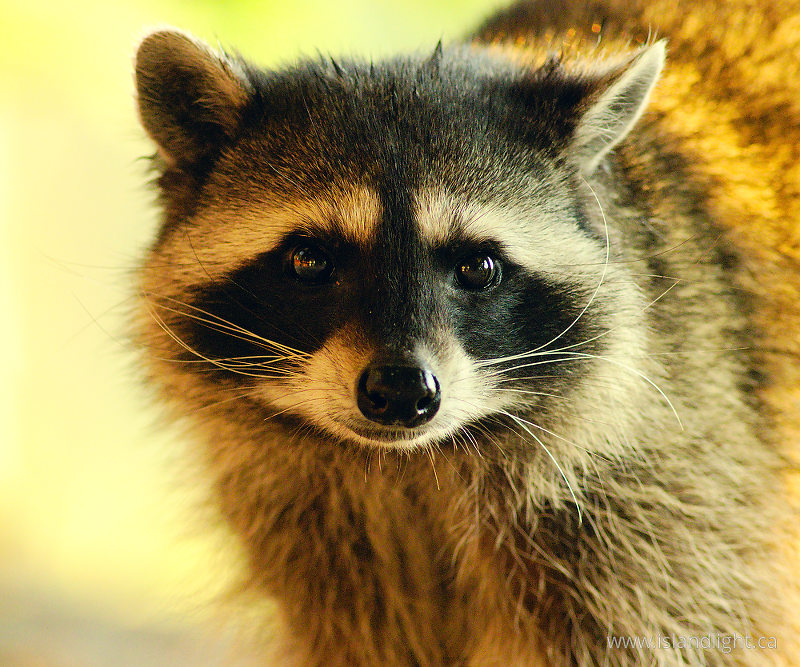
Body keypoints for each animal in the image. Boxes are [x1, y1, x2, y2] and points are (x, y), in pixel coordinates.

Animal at [133, 0, 800, 665]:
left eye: (478, 267)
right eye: (309, 261)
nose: (402, 391)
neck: (406, 469)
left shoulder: (665, 504)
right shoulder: (318, 546)